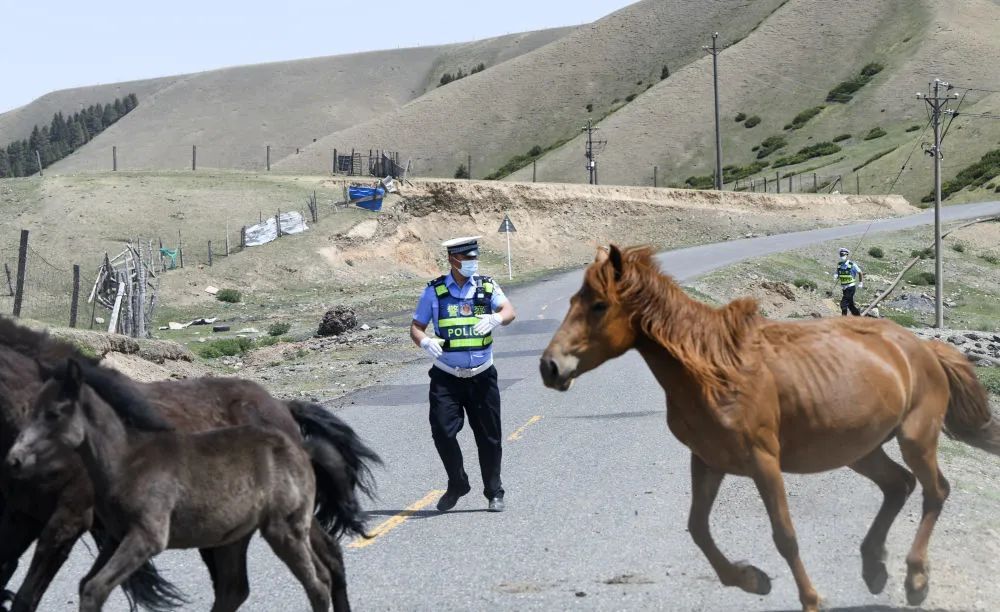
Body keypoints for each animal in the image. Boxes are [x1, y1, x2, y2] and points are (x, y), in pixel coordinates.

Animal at [0, 318, 378, 612]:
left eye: (52, 414)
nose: (15, 460)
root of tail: (282, 407)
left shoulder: (68, 516)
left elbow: (28, 595)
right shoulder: (23, 517)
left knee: (324, 561)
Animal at [544, 246, 996, 612]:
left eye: (599, 305)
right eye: (572, 300)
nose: (549, 367)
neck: (714, 371)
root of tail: (924, 347)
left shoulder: (763, 462)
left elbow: (785, 535)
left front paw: (810, 600)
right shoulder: (707, 462)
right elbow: (698, 529)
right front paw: (752, 580)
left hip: (915, 438)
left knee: (935, 491)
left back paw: (915, 580)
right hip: (861, 449)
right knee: (898, 485)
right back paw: (874, 569)